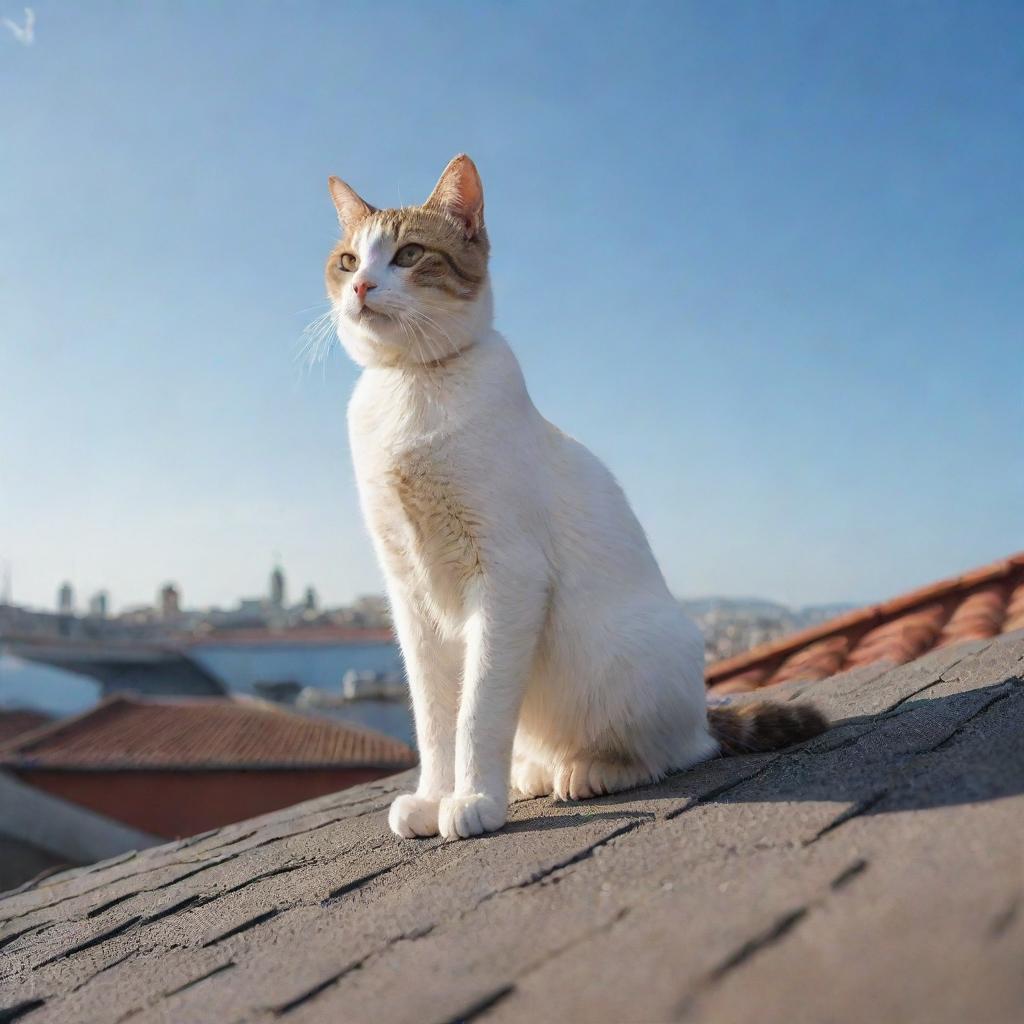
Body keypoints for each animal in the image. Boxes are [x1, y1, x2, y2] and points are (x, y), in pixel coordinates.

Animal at [323, 153, 827, 839]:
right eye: (349, 261)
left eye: (408, 255)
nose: (361, 288)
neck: (412, 386)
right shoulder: (409, 594)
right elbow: (433, 719)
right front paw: (433, 797)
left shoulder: (507, 575)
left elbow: (477, 711)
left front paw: (473, 800)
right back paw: (536, 772)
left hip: (638, 657)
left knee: (681, 750)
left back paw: (592, 771)